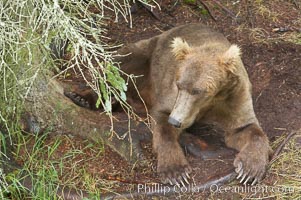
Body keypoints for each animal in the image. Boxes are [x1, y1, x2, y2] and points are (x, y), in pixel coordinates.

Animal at [114, 24, 270, 187]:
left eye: (197, 91)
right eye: (179, 85)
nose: (175, 120)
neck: (209, 102)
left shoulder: (234, 97)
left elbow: (246, 128)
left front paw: (249, 170)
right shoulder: (171, 96)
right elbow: (162, 121)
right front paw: (175, 172)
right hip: (145, 54)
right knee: (122, 60)